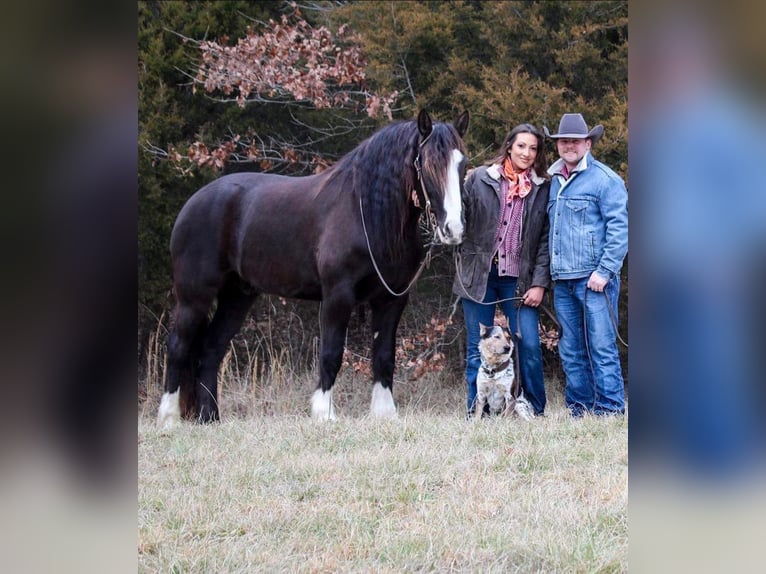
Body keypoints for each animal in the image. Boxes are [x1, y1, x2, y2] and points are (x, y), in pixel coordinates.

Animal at [158, 110, 468, 426]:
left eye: (462, 164)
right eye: (429, 163)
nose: (453, 229)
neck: (364, 212)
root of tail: (193, 203)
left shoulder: (391, 299)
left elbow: (384, 355)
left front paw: (384, 413)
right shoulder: (337, 296)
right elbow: (331, 353)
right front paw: (324, 413)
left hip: (237, 297)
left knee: (211, 349)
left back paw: (209, 417)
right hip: (194, 296)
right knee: (178, 346)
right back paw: (168, 418)